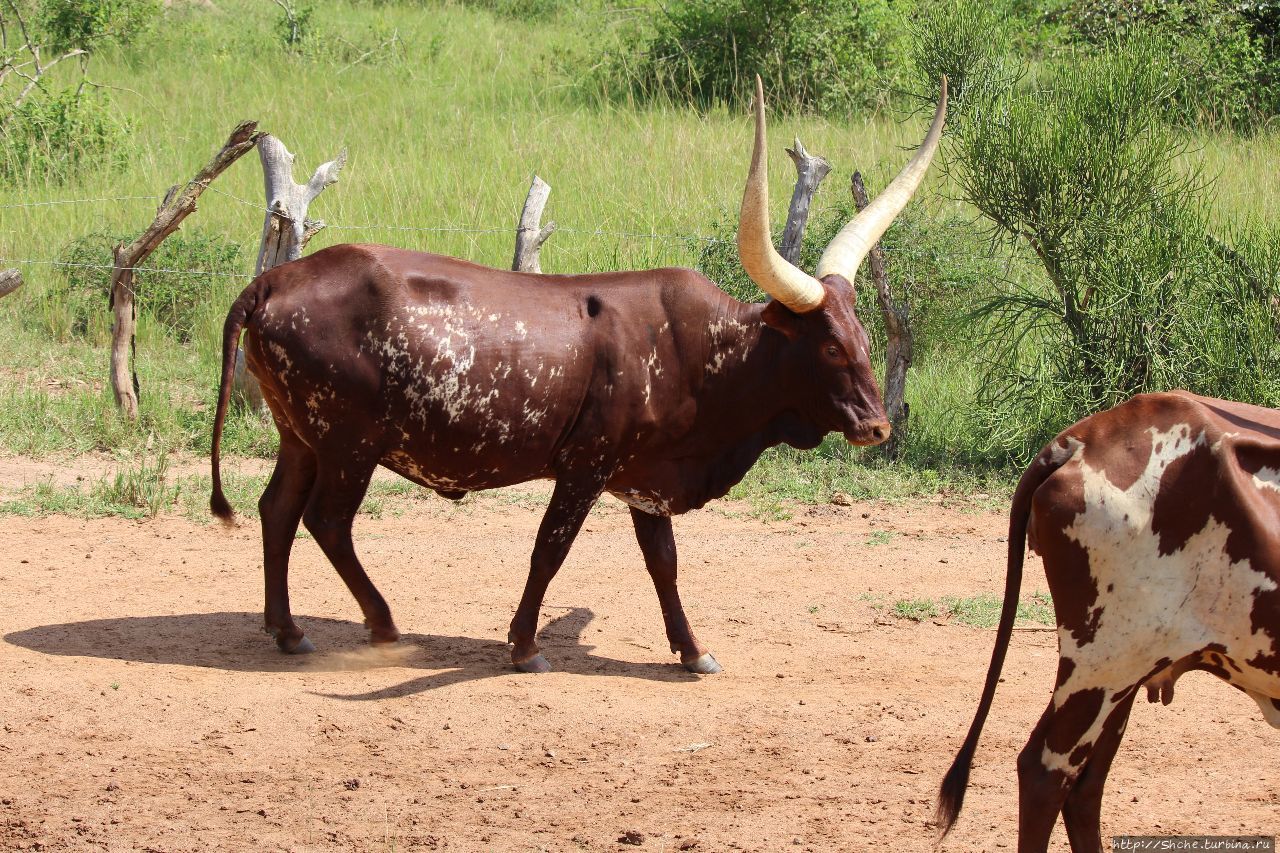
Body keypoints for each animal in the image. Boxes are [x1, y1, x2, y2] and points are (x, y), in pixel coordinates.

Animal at [209, 76, 947, 671]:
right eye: (829, 349)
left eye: (863, 335)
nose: (877, 426)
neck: (702, 356)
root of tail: (272, 280)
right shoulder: (585, 468)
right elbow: (550, 550)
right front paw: (524, 645)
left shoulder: (647, 477)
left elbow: (664, 563)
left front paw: (692, 650)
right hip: (348, 442)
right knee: (327, 521)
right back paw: (383, 623)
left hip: (301, 434)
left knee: (277, 509)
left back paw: (287, 630)